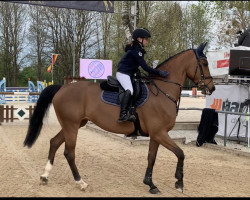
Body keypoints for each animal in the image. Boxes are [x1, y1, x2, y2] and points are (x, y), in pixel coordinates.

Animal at [23, 42, 215, 194]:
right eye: (204, 63)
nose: (211, 88)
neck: (162, 91)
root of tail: (62, 88)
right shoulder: (160, 133)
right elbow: (180, 153)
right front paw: (179, 182)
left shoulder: (156, 135)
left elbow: (151, 158)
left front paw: (150, 184)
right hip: (71, 126)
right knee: (69, 153)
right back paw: (81, 182)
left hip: (74, 125)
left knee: (54, 142)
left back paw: (45, 176)